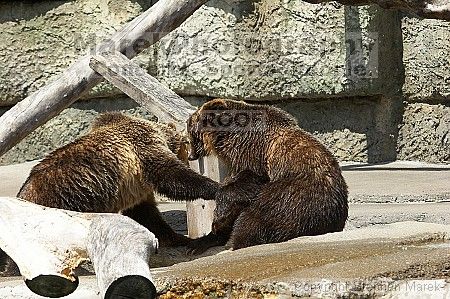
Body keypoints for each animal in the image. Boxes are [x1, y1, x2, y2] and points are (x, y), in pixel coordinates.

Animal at [1, 113, 220, 276]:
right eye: (188, 142)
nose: (190, 156)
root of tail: (24, 192)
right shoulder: (143, 147)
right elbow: (170, 175)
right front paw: (215, 187)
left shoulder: (137, 187)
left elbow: (146, 214)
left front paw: (180, 239)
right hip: (55, 206)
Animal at [186, 99, 348, 253]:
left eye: (191, 134)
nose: (190, 156)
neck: (227, 138)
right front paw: (208, 236)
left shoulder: (252, 152)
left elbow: (248, 181)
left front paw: (217, 220)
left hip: (296, 193)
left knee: (259, 215)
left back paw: (237, 241)